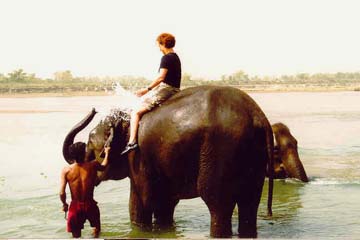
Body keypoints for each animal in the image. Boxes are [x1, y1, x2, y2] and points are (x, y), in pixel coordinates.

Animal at [63, 85, 274, 237]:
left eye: (91, 144)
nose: (94, 109)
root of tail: (258, 116)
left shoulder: (138, 157)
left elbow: (142, 203)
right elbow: (165, 203)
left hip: (220, 151)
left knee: (218, 203)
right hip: (253, 158)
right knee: (249, 203)